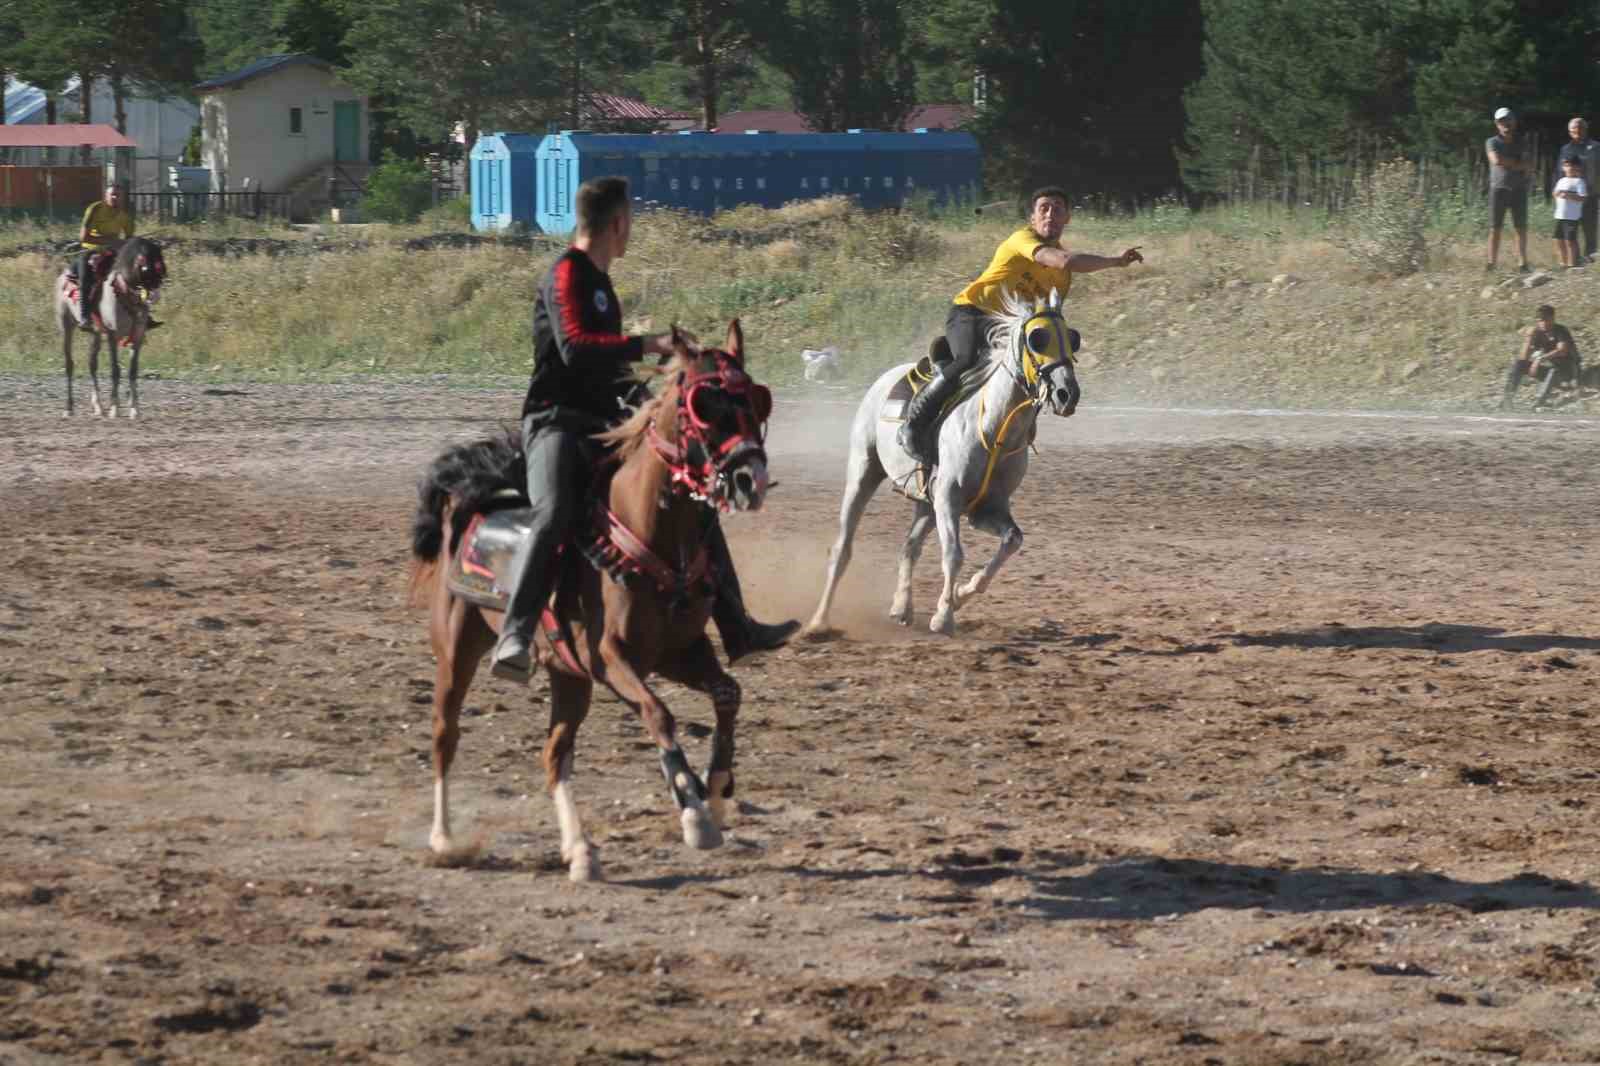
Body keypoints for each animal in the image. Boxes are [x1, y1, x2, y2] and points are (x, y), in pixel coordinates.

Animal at [55, 235, 166, 416]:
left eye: (160, 260)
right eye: (145, 262)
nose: (154, 294)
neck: (124, 293)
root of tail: (63, 275)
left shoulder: (137, 336)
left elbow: (133, 371)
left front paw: (134, 409)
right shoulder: (112, 335)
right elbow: (115, 370)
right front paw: (114, 408)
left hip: (96, 333)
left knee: (92, 364)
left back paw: (98, 406)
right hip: (66, 326)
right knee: (69, 364)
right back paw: (68, 408)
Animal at [412, 321, 774, 877]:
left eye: (755, 401)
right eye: (705, 405)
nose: (748, 478)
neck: (646, 533)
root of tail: (467, 500)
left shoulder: (677, 653)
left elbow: (727, 694)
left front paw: (713, 792)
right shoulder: (610, 658)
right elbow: (659, 715)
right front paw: (693, 813)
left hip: (568, 675)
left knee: (554, 755)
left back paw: (580, 851)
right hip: (457, 648)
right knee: (444, 735)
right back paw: (445, 838)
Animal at [806, 286, 1081, 633]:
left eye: (1072, 338)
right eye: (1038, 339)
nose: (1067, 393)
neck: (994, 429)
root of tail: (885, 379)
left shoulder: (985, 508)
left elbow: (1012, 541)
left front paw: (960, 596)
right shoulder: (949, 499)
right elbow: (953, 554)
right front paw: (944, 616)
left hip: (926, 501)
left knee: (909, 547)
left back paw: (901, 607)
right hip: (863, 473)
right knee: (842, 549)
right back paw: (818, 621)